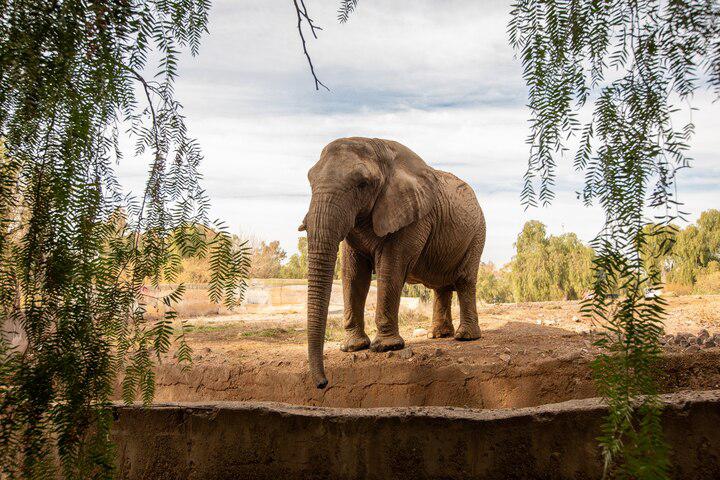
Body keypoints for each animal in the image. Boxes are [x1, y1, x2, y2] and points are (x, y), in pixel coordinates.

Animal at [300, 137, 486, 389]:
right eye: (310, 179)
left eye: (362, 184)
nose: (322, 383)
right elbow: (353, 274)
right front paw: (353, 348)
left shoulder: (413, 218)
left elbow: (391, 267)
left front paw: (387, 347)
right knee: (441, 287)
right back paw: (437, 336)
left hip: (477, 233)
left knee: (465, 280)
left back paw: (464, 337)